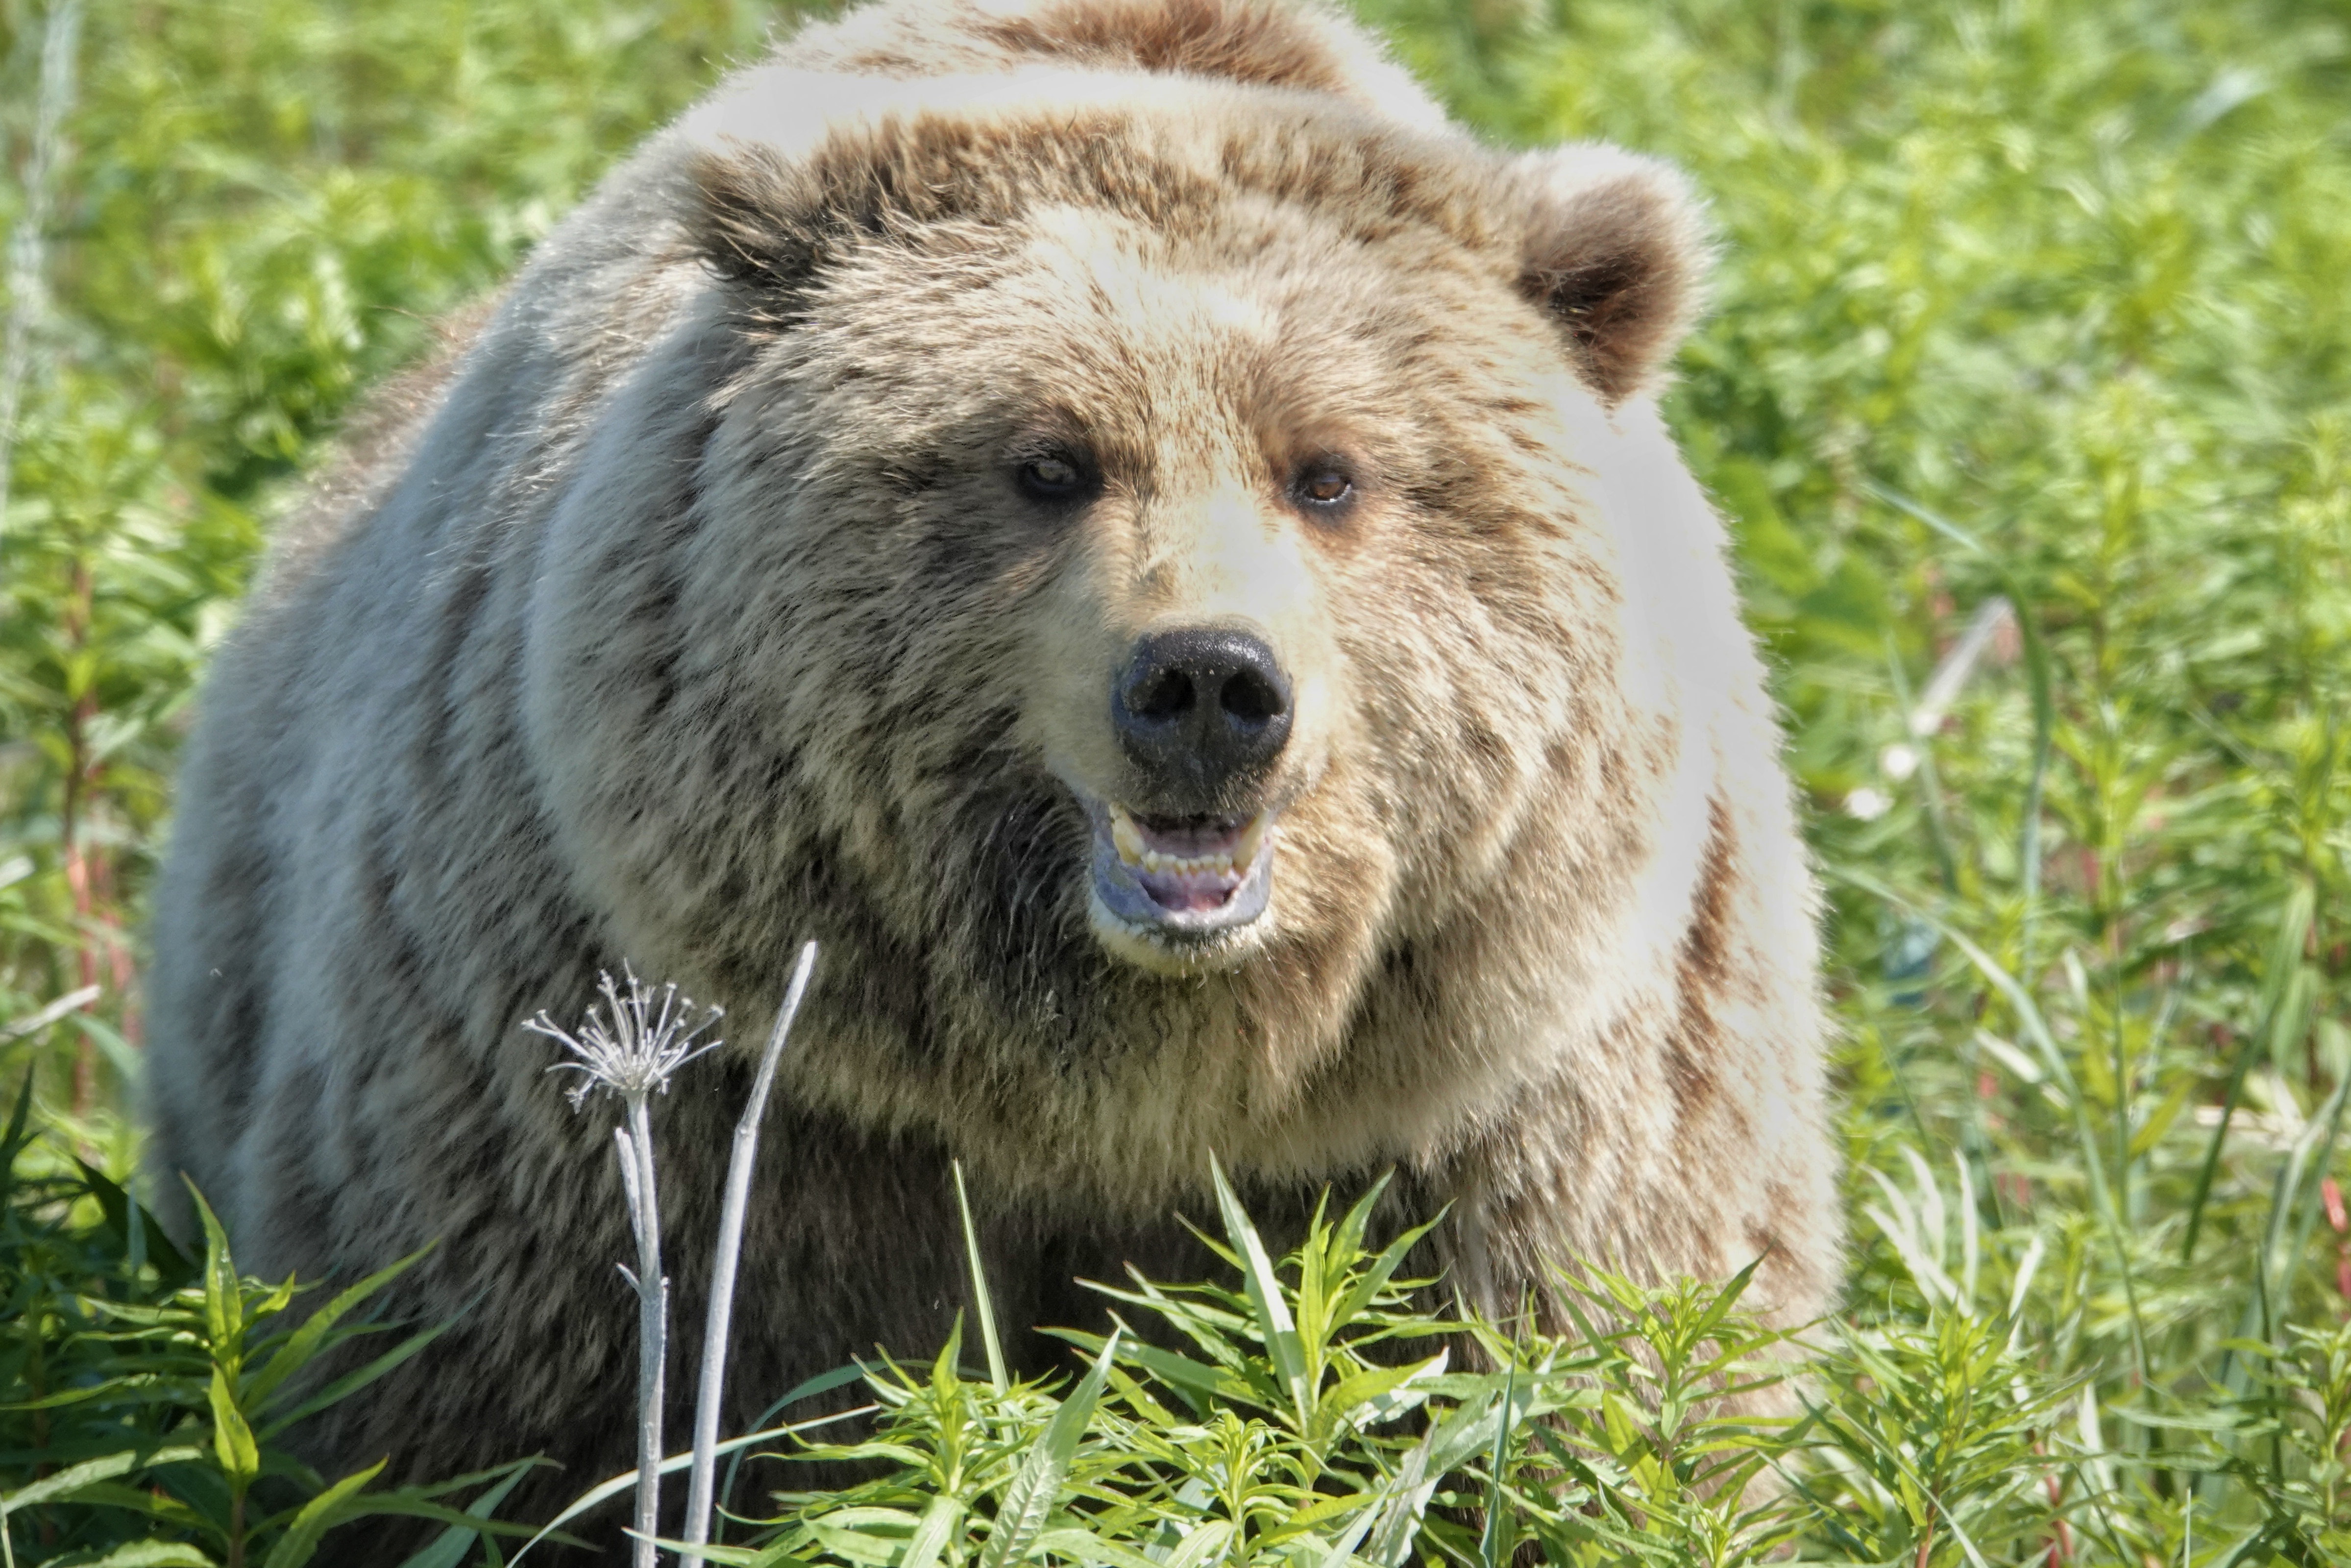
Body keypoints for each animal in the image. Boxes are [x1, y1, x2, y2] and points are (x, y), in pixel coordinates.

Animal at [143, 0, 1841, 1557]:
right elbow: (542, 1399)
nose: (1207, 686)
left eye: (1330, 471)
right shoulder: (700, 1070)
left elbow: (1568, 1392)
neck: (1115, 1071)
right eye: (1048, 460)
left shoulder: (1499, 1092)